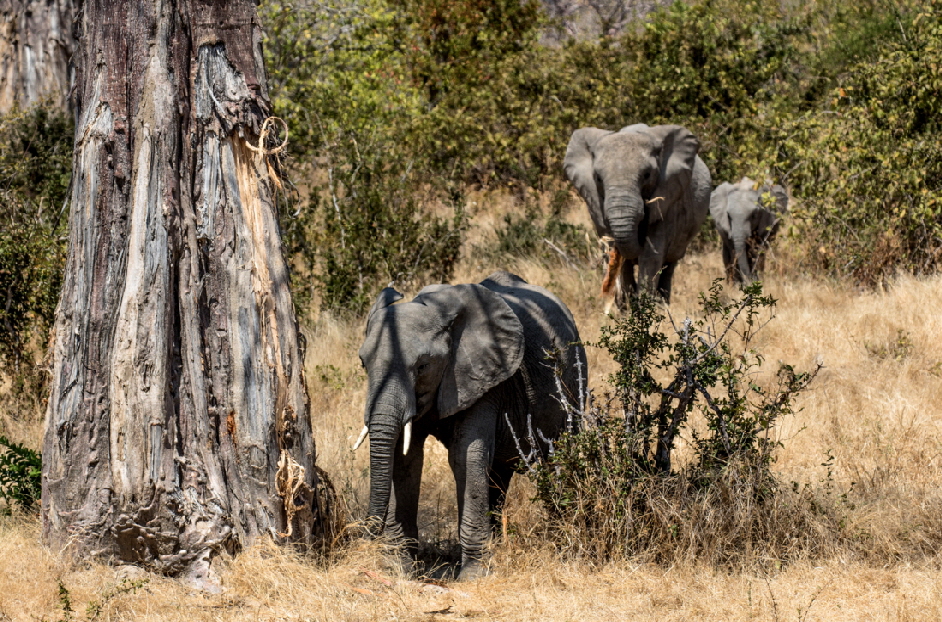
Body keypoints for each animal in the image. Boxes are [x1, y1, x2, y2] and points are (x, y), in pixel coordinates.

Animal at [358, 270, 588, 584]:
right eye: (363, 364)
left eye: (422, 366)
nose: (363, 536)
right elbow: (406, 458)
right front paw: (399, 569)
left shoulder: (486, 379)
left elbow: (464, 458)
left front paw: (473, 577)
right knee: (499, 475)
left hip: (574, 381)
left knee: (559, 460)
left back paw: (561, 540)